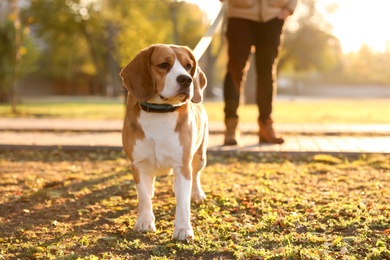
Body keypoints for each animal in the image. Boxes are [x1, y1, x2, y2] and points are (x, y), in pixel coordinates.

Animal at [120, 43, 209, 241]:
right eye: (163, 65)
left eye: (188, 66)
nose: (186, 80)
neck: (159, 112)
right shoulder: (138, 164)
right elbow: (144, 197)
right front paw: (145, 222)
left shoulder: (182, 166)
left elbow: (183, 203)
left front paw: (183, 229)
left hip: (200, 157)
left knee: (196, 175)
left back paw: (197, 193)